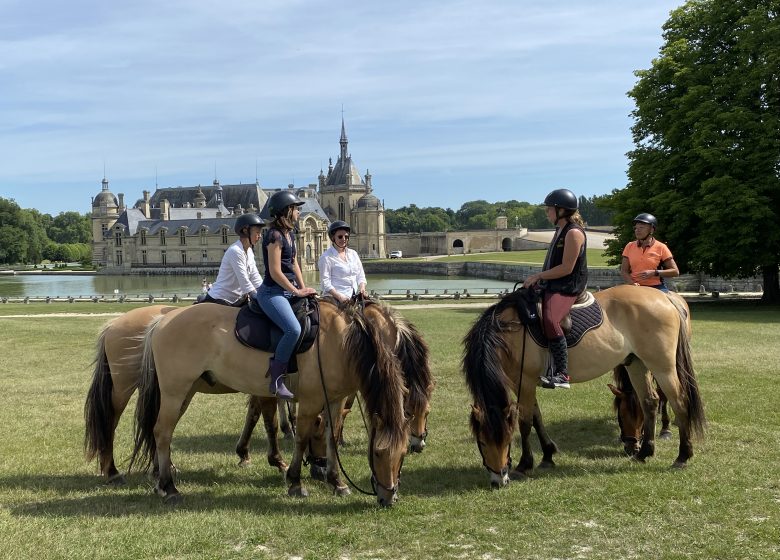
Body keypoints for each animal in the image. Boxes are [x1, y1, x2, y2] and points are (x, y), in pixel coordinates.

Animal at [84, 304, 294, 484]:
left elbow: (256, 415)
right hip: (124, 388)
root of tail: (114, 324)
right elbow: (268, 420)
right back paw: (112, 471)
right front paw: (275, 456)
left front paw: (247, 453)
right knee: (111, 422)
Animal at [127, 300, 408, 506]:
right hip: (175, 392)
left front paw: (337, 482)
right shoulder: (311, 400)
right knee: (162, 432)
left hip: (184, 393)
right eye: (378, 452)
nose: (389, 497)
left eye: (403, 453)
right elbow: (301, 438)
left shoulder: (335, 400)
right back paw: (169, 486)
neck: (338, 342)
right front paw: (295, 482)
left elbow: (332, 437)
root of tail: (162, 321)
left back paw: (161, 481)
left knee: (160, 432)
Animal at [464, 286, 708, 488]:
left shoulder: (525, 381)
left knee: (679, 402)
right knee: (650, 402)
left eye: (504, 440)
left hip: (662, 366)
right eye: (482, 442)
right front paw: (548, 455)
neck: (509, 332)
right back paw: (644, 452)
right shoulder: (522, 383)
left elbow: (525, 423)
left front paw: (524, 464)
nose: (498, 481)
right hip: (637, 364)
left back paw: (682, 456)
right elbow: (536, 417)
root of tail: (665, 297)